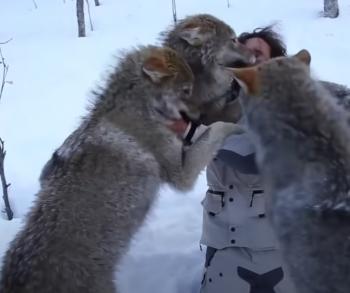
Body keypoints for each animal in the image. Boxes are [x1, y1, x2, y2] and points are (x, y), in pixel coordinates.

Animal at [0, 46, 242, 292]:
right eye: (186, 90)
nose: (200, 114)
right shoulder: (181, 175)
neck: (140, 108)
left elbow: (206, 132)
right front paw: (237, 124)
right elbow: (217, 129)